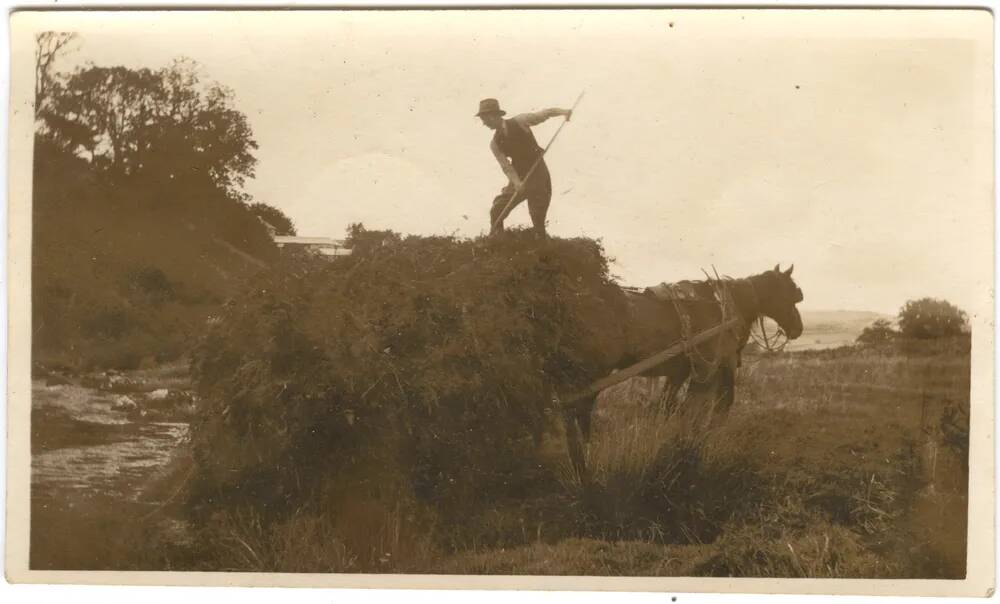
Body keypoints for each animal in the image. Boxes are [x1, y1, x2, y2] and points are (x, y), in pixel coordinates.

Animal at [564, 264, 804, 486]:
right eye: (790, 293)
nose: (798, 329)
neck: (725, 307)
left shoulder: (683, 371)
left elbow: (671, 407)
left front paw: (677, 445)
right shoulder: (715, 366)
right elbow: (713, 407)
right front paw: (698, 446)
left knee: (573, 413)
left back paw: (581, 466)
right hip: (592, 374)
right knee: (578, 412)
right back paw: (584, 467)